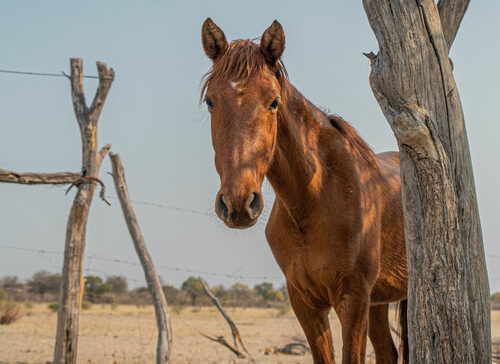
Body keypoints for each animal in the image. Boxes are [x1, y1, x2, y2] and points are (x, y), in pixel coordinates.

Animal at [201, 17, 408, 364]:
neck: (315, 199)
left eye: (273, 102)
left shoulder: (353, 300)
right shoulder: (305, 303)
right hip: (379, 303)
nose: (239, 203)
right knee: (387, 353)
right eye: (210, 101)